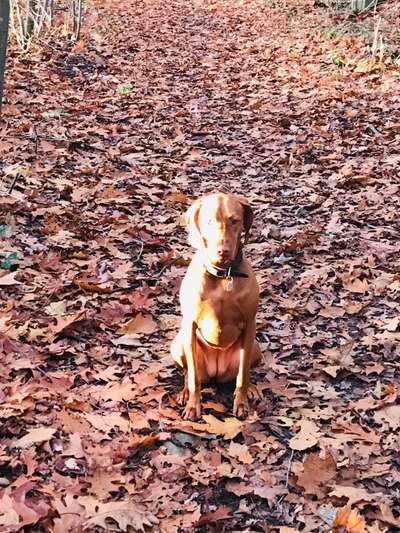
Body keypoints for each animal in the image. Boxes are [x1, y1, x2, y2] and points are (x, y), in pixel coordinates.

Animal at [171, 191, 260, 420]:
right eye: (209, 221)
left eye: (234, 221)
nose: (223, 251)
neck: (222, 275)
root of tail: (217, 373)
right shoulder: (190, 326)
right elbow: (193, 377)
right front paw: (193, 405)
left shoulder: (250, 324)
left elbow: (243, 374)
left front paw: (242, 402)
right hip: (178, 345)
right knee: (188, 372)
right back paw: (184, 392)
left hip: (255, 347)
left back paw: (253, 388)